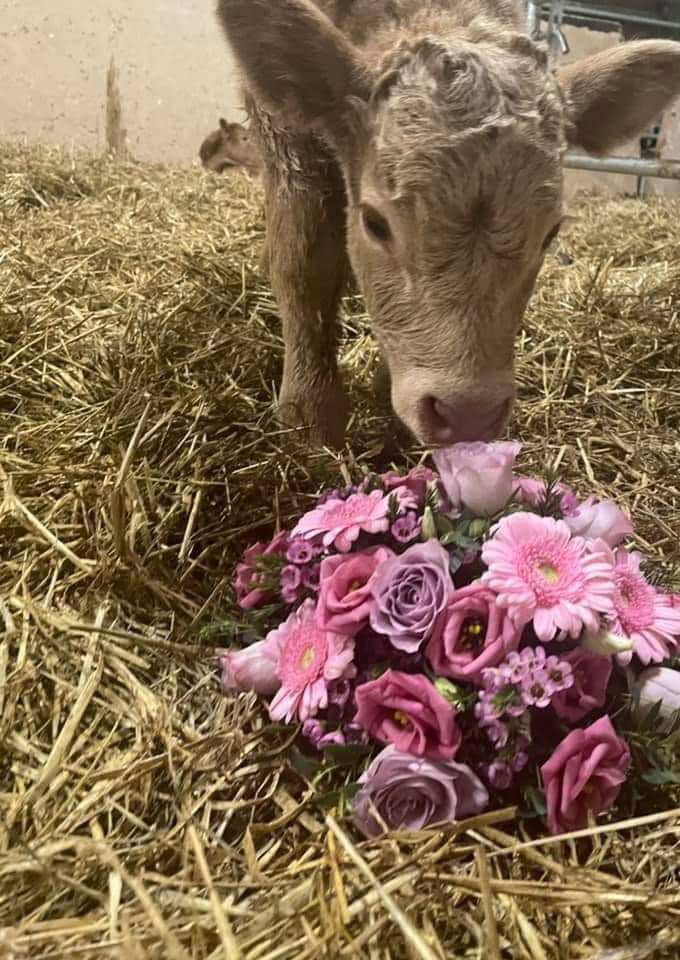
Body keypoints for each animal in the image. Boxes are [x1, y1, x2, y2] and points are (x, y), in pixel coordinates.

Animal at [215, 0, 680, 448]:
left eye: (550, 234)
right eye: (374, 223)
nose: (467, 414)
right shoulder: (284, 136)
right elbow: (304, 261)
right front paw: (309, 417)